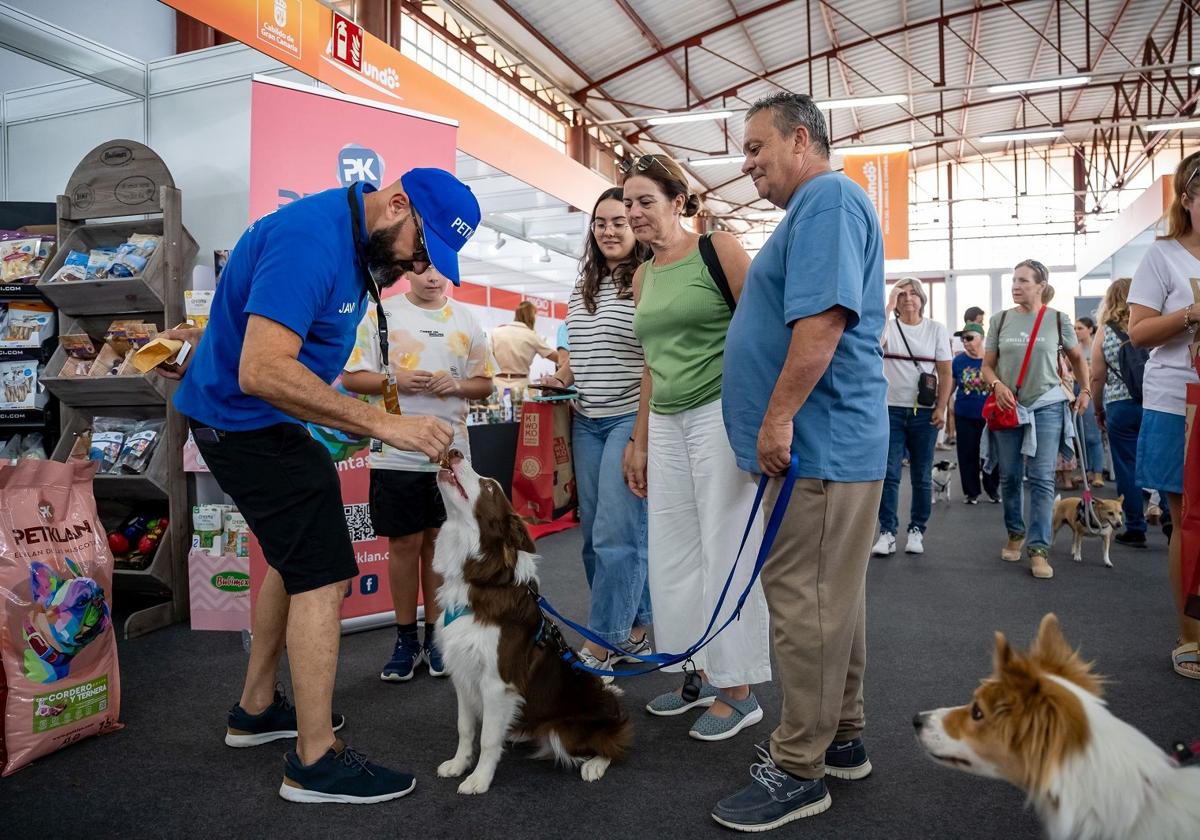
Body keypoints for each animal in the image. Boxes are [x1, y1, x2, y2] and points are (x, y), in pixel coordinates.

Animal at [434, 453, 638, 792]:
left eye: (488, 487)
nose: (454, 453)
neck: (482, 580)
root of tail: (612, 710)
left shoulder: (496, 682)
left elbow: (487, 739)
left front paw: (479, 779)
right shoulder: (463, 672)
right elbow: (465, 727)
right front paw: (458, 764)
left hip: (565, 730)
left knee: (611, 745)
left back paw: (594, 765)